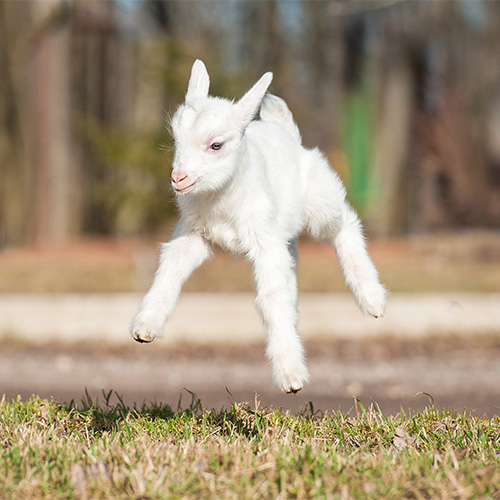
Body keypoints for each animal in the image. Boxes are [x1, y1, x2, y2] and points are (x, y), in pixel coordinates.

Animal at [130, 59, 386, 394]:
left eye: (216, 145)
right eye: (176, 140)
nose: (178, 178)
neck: (221, 201)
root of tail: (286, 132)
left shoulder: (264, 242)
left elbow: (270, 297)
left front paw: (291, 377)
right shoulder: (193, 236)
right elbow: (169, 271)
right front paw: (145, 327)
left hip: (321, 203)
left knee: (346, 223)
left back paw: (372, 299)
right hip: (285, 237)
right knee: (292, 269)